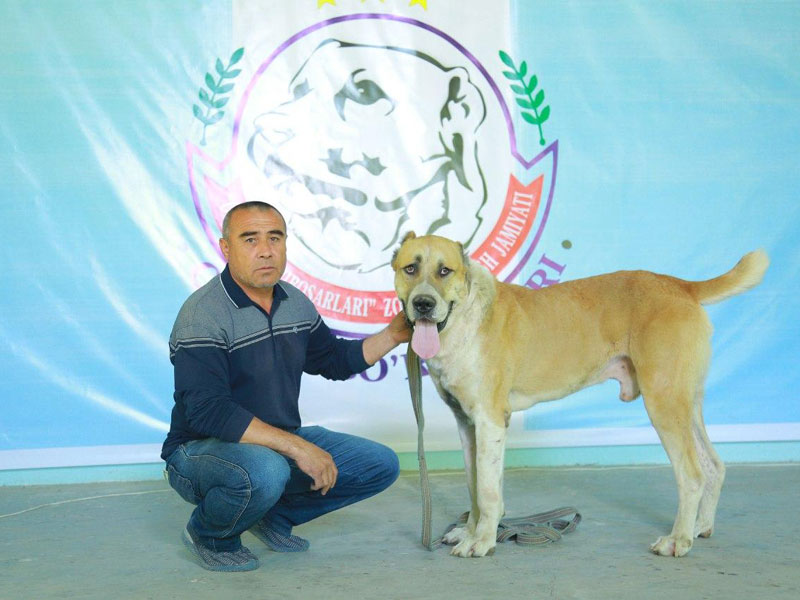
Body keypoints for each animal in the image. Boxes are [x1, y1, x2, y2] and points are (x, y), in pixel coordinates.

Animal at [392, 232, 769, 558]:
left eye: (445, 271)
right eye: (410, 268)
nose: (423, 304)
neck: (464, 316)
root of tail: (680, 285)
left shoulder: (489, 420)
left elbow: (486, 490)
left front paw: (482, 541)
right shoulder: (468, 424)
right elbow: (475, 485)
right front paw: (472, 531)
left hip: (664, 400)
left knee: (691, 474)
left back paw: (678, 539)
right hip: (687, 403)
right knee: (714, 465)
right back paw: (700, 527)